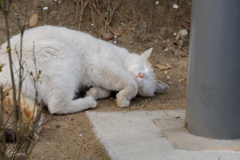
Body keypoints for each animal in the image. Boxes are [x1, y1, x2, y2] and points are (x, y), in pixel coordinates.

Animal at [0, 25, 169, 117]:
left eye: (147, 79)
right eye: (143, 67)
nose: (141, 74)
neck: (122, 59)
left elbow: (107, 90)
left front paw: (94, 92)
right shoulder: (103, 66)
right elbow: (131, 86)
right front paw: (122, 100)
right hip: (64, 55)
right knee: (56, 106)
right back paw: (89, 102)